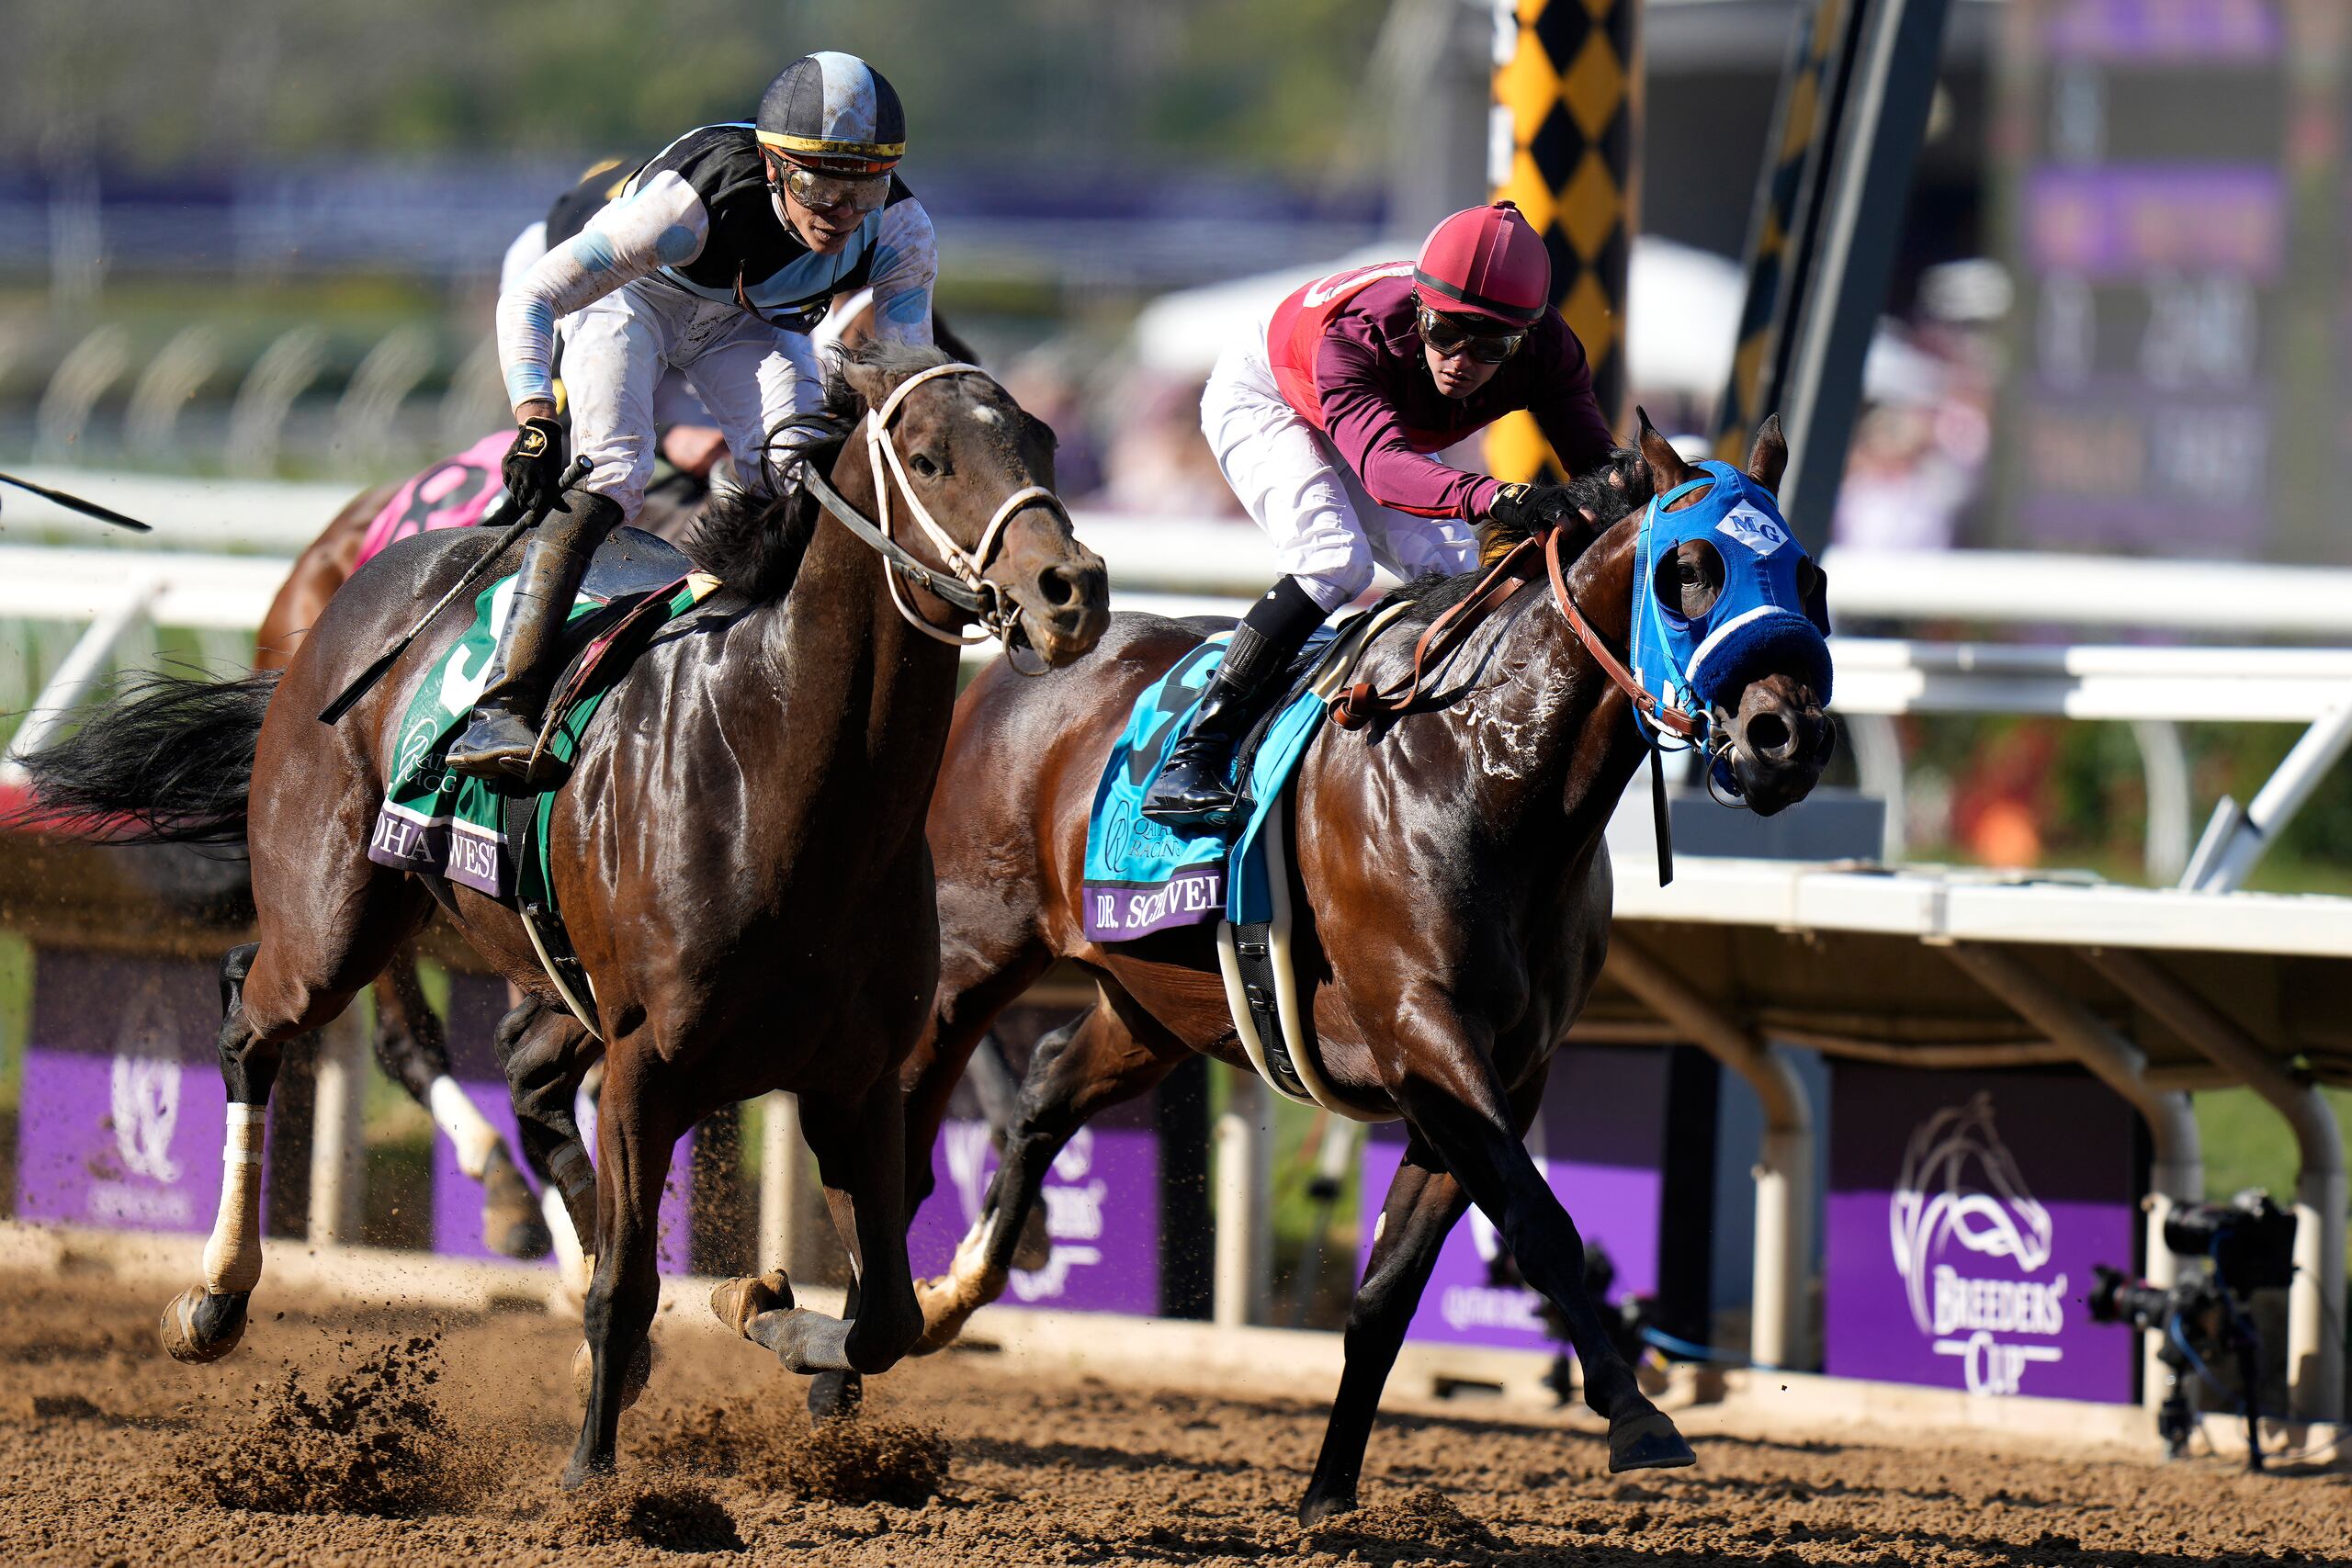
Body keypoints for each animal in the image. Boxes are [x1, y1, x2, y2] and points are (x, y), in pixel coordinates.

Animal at [20, 341, 1110, 1485]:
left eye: (1040, 443)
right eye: (931, 457)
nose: (1069, 590)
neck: (780, 771)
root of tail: (357, 577)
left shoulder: (847, 1079)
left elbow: (884, 1318)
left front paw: (757, 1302)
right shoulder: (648, 1068)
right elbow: (625, 1289)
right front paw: (593, 1480)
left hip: (545, 977)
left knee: (521, 1076)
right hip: (333, 923)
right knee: (252, 1017)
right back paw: (217, 1297)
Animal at [855, 415, 1825, 1523]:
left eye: (1810, 575)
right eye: (1689, 569)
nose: (1786, 736)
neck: (1484, 769)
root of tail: (1017, 658)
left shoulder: (1493, 1072)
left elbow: (1388, 1292)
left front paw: (1327, 1495)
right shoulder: (1425, 1036)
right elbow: (1539, 1223)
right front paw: (1634, 1414)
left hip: (1155, 1005)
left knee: (1048, 1085)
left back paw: (950, 1294)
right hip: (969, 955)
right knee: (894, 1113)